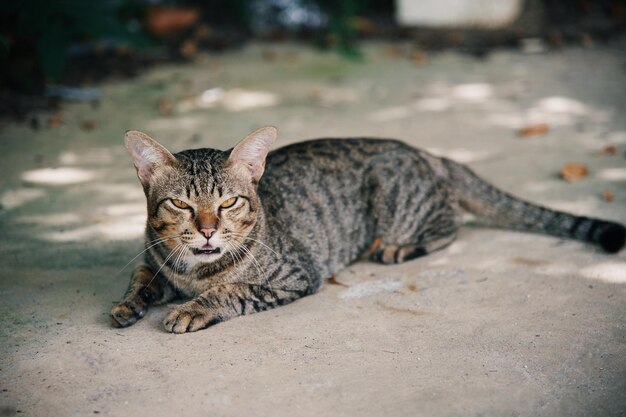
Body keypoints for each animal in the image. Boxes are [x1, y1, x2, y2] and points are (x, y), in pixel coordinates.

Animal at [109, 125, 620, 334]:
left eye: (229, 202)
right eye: (180, 204)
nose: (209, 231)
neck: (191, 272)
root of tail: (426, 152)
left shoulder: (297, 275)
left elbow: (229, 291)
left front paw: (193, 308)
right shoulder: (153, 259)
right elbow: (141, 277)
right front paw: (129, 304)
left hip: (399, 201)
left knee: (451, 224)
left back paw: (397, 247)